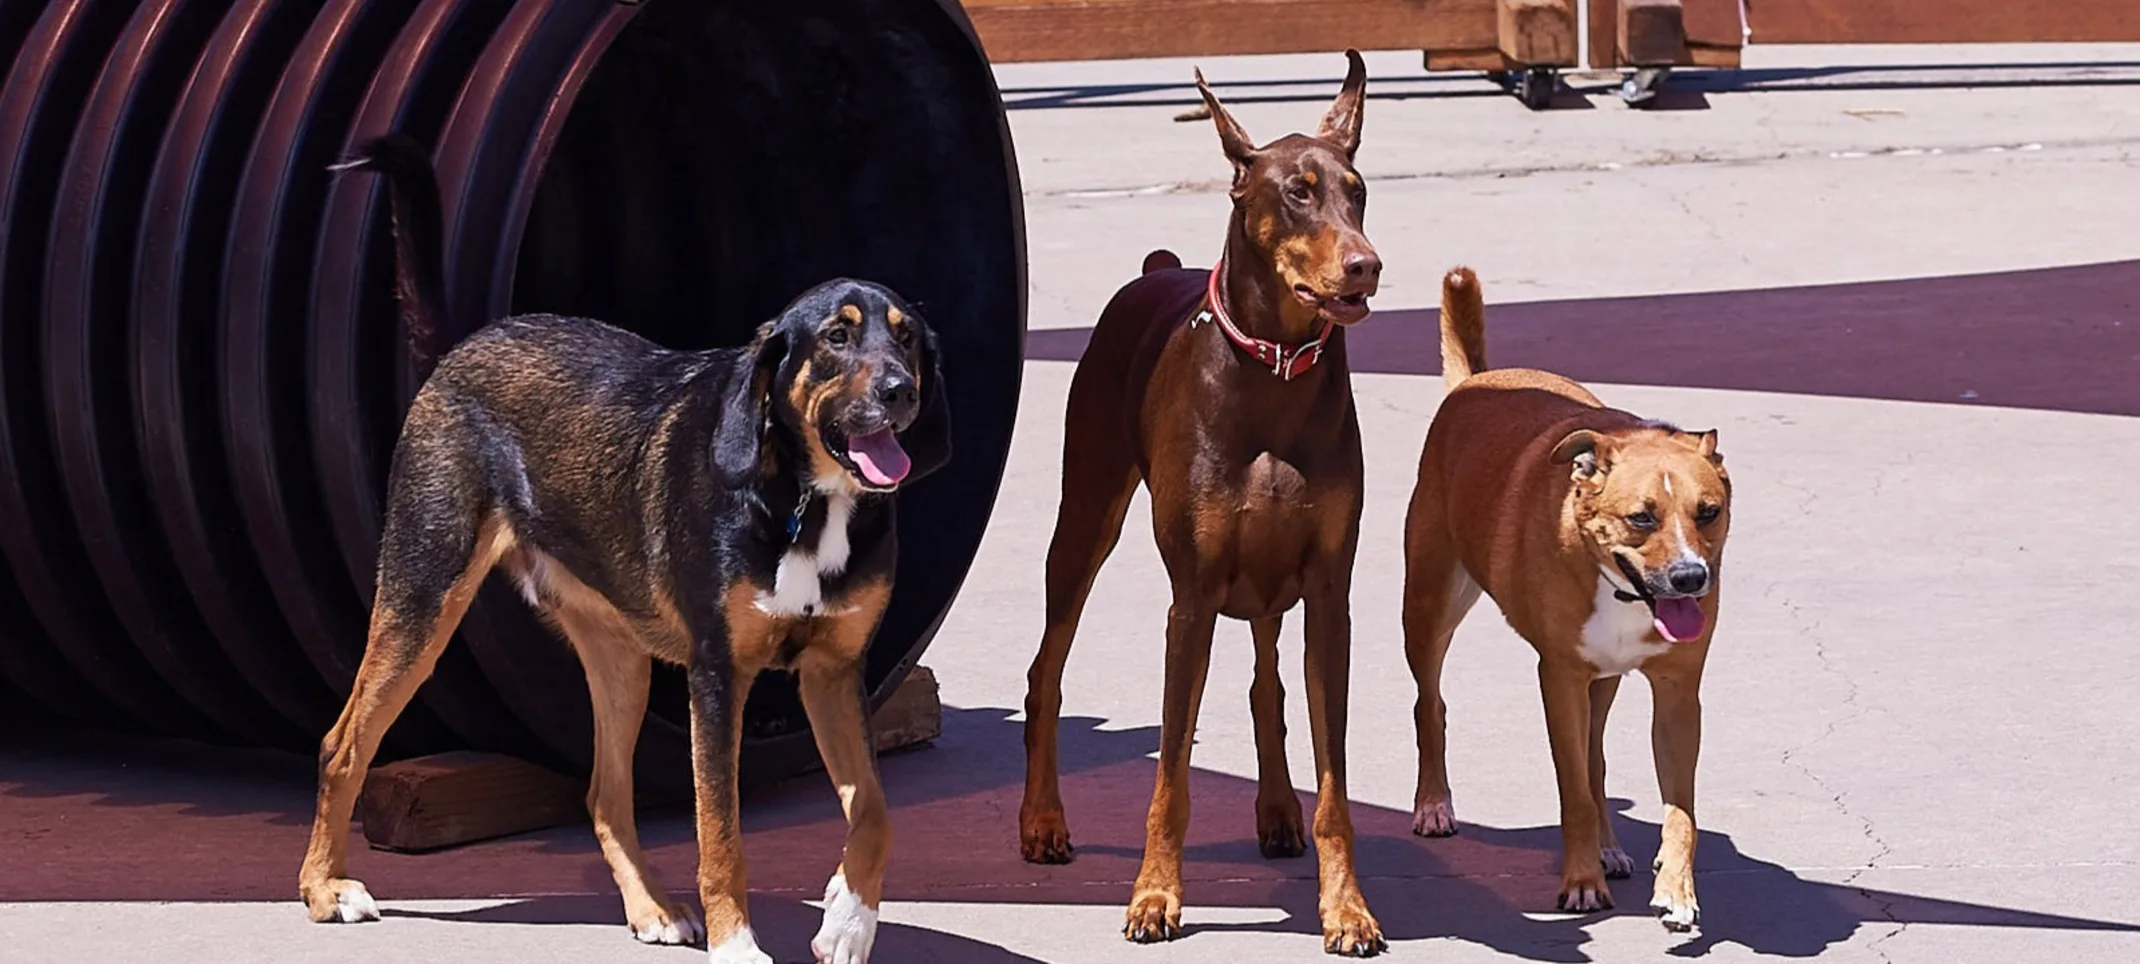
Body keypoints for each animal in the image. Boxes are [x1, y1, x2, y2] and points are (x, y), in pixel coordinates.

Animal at [297, 135, 950, 964]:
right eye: (837, 337)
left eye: (906, 336)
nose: (902, 390)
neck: (803, 499)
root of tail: (463, 348)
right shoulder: (717, 678)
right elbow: (721, 835)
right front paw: (739, 943)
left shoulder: (835, 674)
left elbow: (873, 811)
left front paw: (848, 917)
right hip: (422, 603)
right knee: (341, 744)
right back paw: (323, 888)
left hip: (621, 662)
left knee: (604, 795)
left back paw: (652, 907)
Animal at [1403, 267, 1737, 929]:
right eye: (1641, 518)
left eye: (1708, 512)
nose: (1691, 578)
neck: (1619, 589)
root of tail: (1475, 381)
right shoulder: (1557, 678)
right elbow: (1573, 790)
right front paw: (1581, 882)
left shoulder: (1677, 692)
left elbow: (1678, 805)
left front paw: (1677, 889)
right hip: (1428, 606)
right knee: (1432, 703)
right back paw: (1434, 804)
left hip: (1600, 679)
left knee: (1596, 754)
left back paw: (1609, 845)